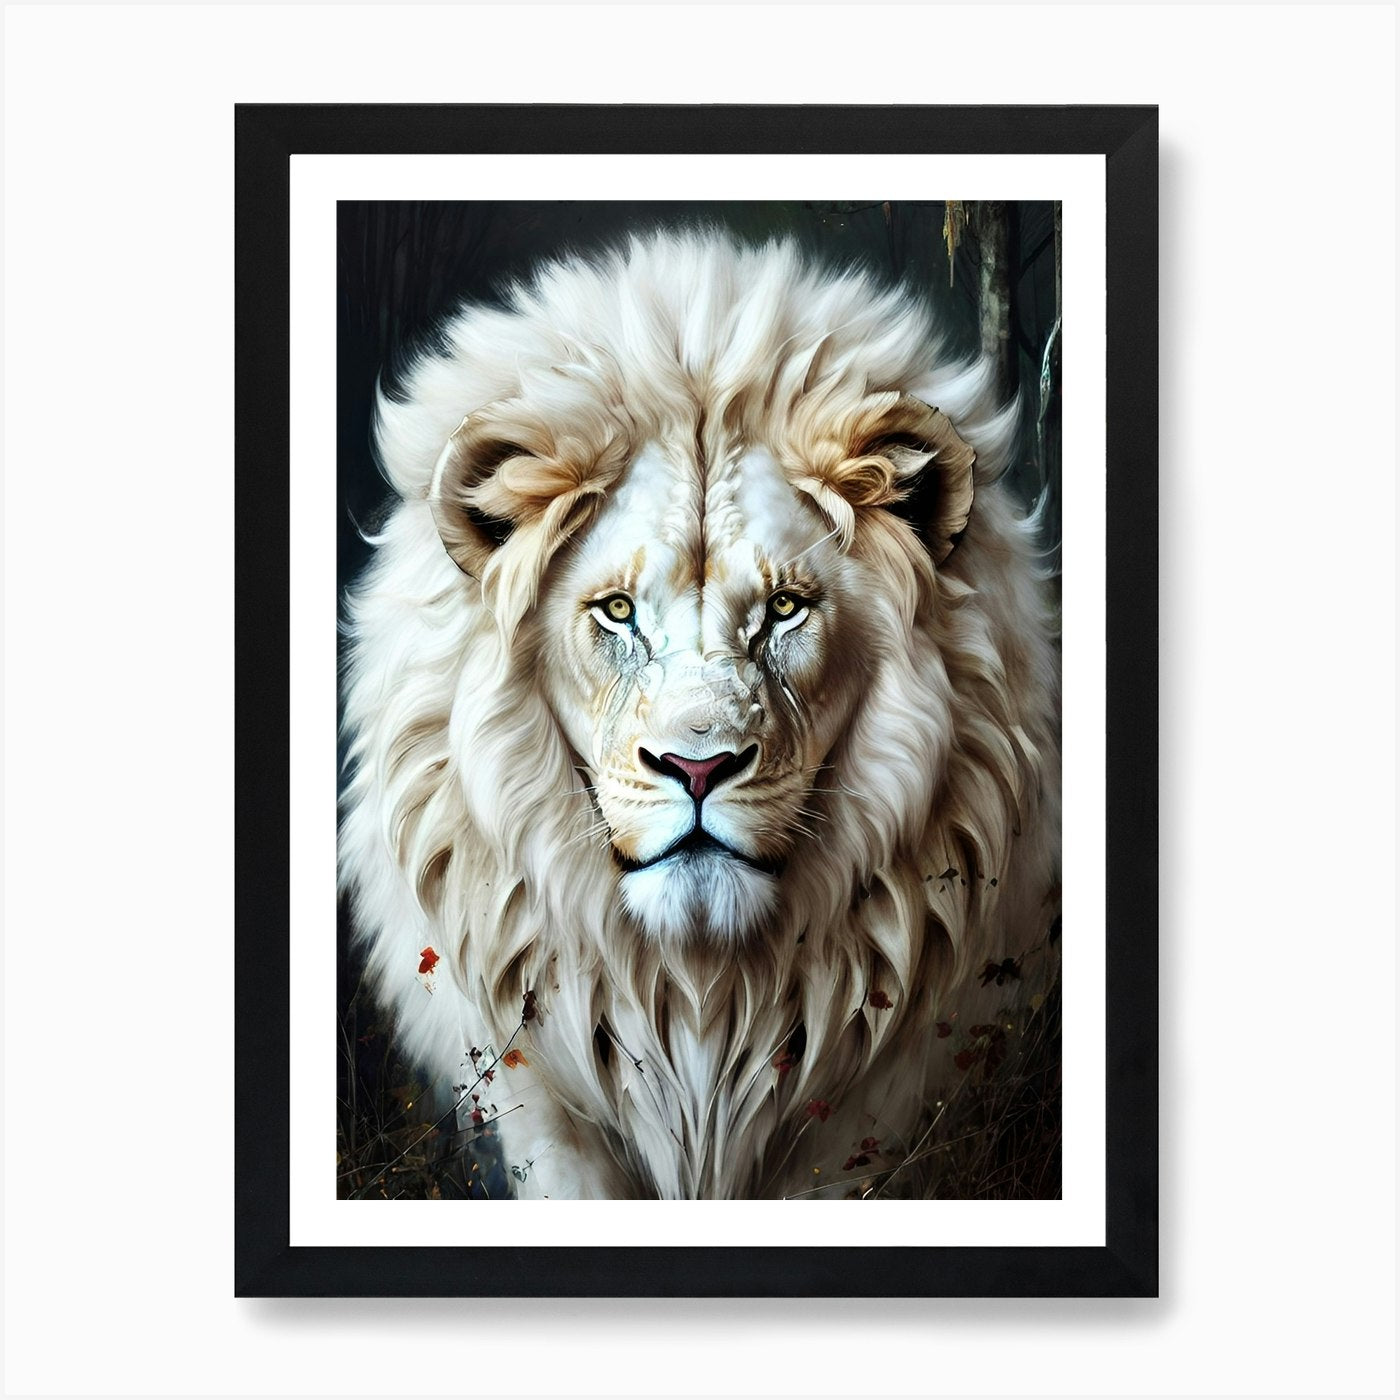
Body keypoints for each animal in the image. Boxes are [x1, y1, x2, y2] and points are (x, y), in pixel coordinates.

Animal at [339, 232, 1061, 1199]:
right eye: (616, 612)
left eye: (786, 609)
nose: (698, 768)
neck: (702, 998)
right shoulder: (542, 1113)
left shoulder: (879, 1110)